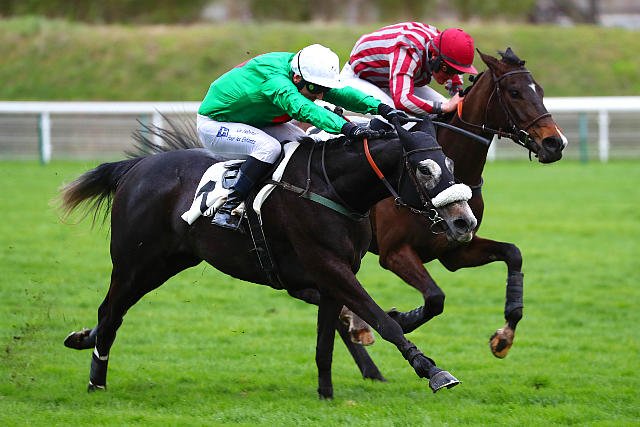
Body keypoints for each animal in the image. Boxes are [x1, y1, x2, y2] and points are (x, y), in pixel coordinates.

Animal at [59, 116, 478, 399]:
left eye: (451, 165)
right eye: (424, 169)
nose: (464, 221)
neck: (333, 188)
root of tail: (136, 167)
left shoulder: (332, 274)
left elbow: (327, 337)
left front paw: (326, 394)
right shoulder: (329, 265)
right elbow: (381, 320)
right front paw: (432, 370)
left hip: (171, 262)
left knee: (112, 312)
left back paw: (84, 343)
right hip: (135, 264)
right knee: (111, 312)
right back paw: (96, 379)